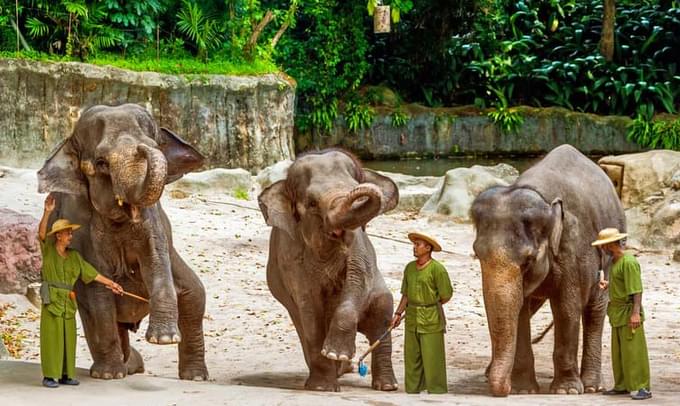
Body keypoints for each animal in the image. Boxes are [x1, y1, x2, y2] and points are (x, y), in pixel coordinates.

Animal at [36, 102, 207, 380]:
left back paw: (194, 376)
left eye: (156, 144)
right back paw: (119, 368)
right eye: (101, 162)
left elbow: (155, 259)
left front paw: (164, 339)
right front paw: (109, 376)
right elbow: (98, 286)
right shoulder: (82, 226)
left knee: (194, 298)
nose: (144, 148)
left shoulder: (153, 220)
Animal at [258, 148, 398, 390]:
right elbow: (308, 307)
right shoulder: (290, 256)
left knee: (381, 316)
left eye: (354, 185)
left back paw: (385, 385)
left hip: (379, 296)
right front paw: (322, 386)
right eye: (312, 203)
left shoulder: (359, 245)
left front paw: (335, 354)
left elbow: (358, 279)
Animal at [470, 145, 624, 396]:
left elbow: (566, 309)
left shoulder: (572, 249)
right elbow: (519, 310)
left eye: (528, 260)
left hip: (611, 252)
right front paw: (522, 390)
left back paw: (591, 386)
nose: (503, 388)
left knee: (595, 308)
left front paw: (566, 391)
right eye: (477, 255)